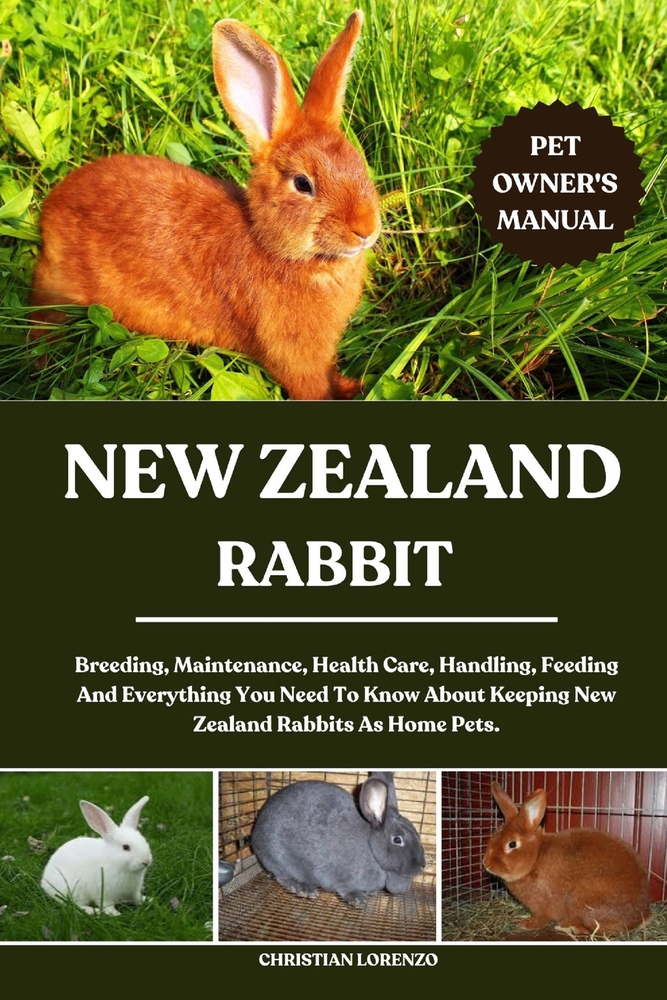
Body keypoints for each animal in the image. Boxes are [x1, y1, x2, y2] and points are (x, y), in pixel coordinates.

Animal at [29, 11, 381, 401]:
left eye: (359, 161)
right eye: (303, 184)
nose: (366, 229)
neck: (272, 247)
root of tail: (54, 204)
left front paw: (354, 385)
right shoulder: (294, 355)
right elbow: (311, 384)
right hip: (58, 286)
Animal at [251, 771, 425, 905]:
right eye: (397, 839)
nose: (422, 866)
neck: (370, 849)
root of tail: (255, 835)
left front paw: (371, 893)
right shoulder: (340, 877)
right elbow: (345, 889)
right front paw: (358, 899)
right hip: (279, 858)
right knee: (282, 877)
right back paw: (304, 889)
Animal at [483, 782, 651, 936]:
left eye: (512, 844)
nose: (486, 864)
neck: (536, 858)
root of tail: (642, 915)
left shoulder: (542, 906)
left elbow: (540, 919)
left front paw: (525, 924)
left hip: (581, 902)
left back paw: (569, 927)